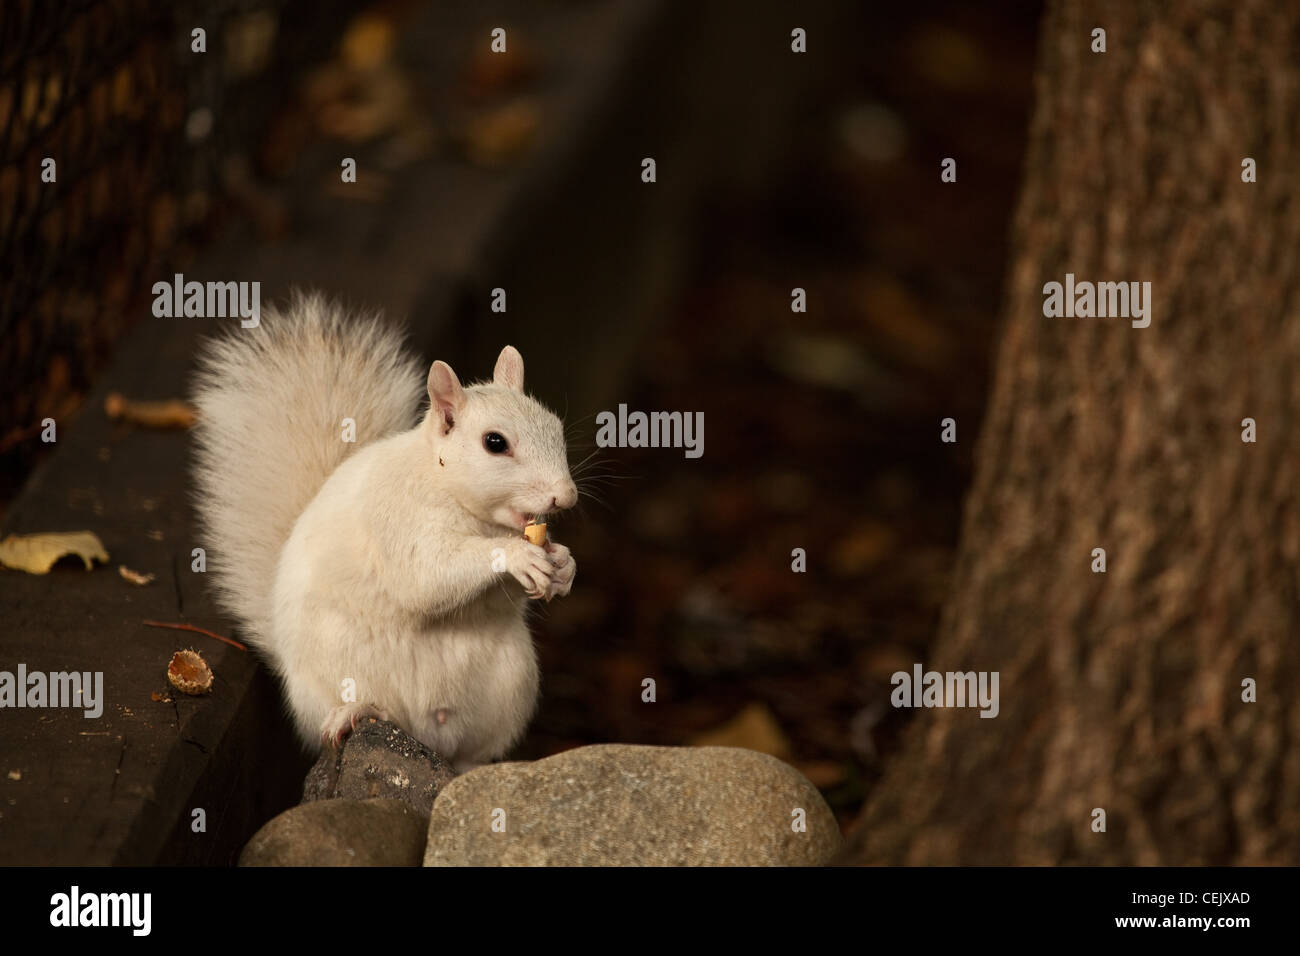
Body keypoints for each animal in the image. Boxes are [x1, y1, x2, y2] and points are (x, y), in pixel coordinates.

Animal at [190, 293, 577, 771]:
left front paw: (563, 565)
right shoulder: (395, 518)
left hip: (511, 684)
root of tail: (429, 731)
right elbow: (424, 576)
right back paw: (358, 712)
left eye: (556, 426)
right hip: (336, 671)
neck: (448, 487)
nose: (566, 495)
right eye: (495, 443)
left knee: (473, 752)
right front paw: (518, 556)